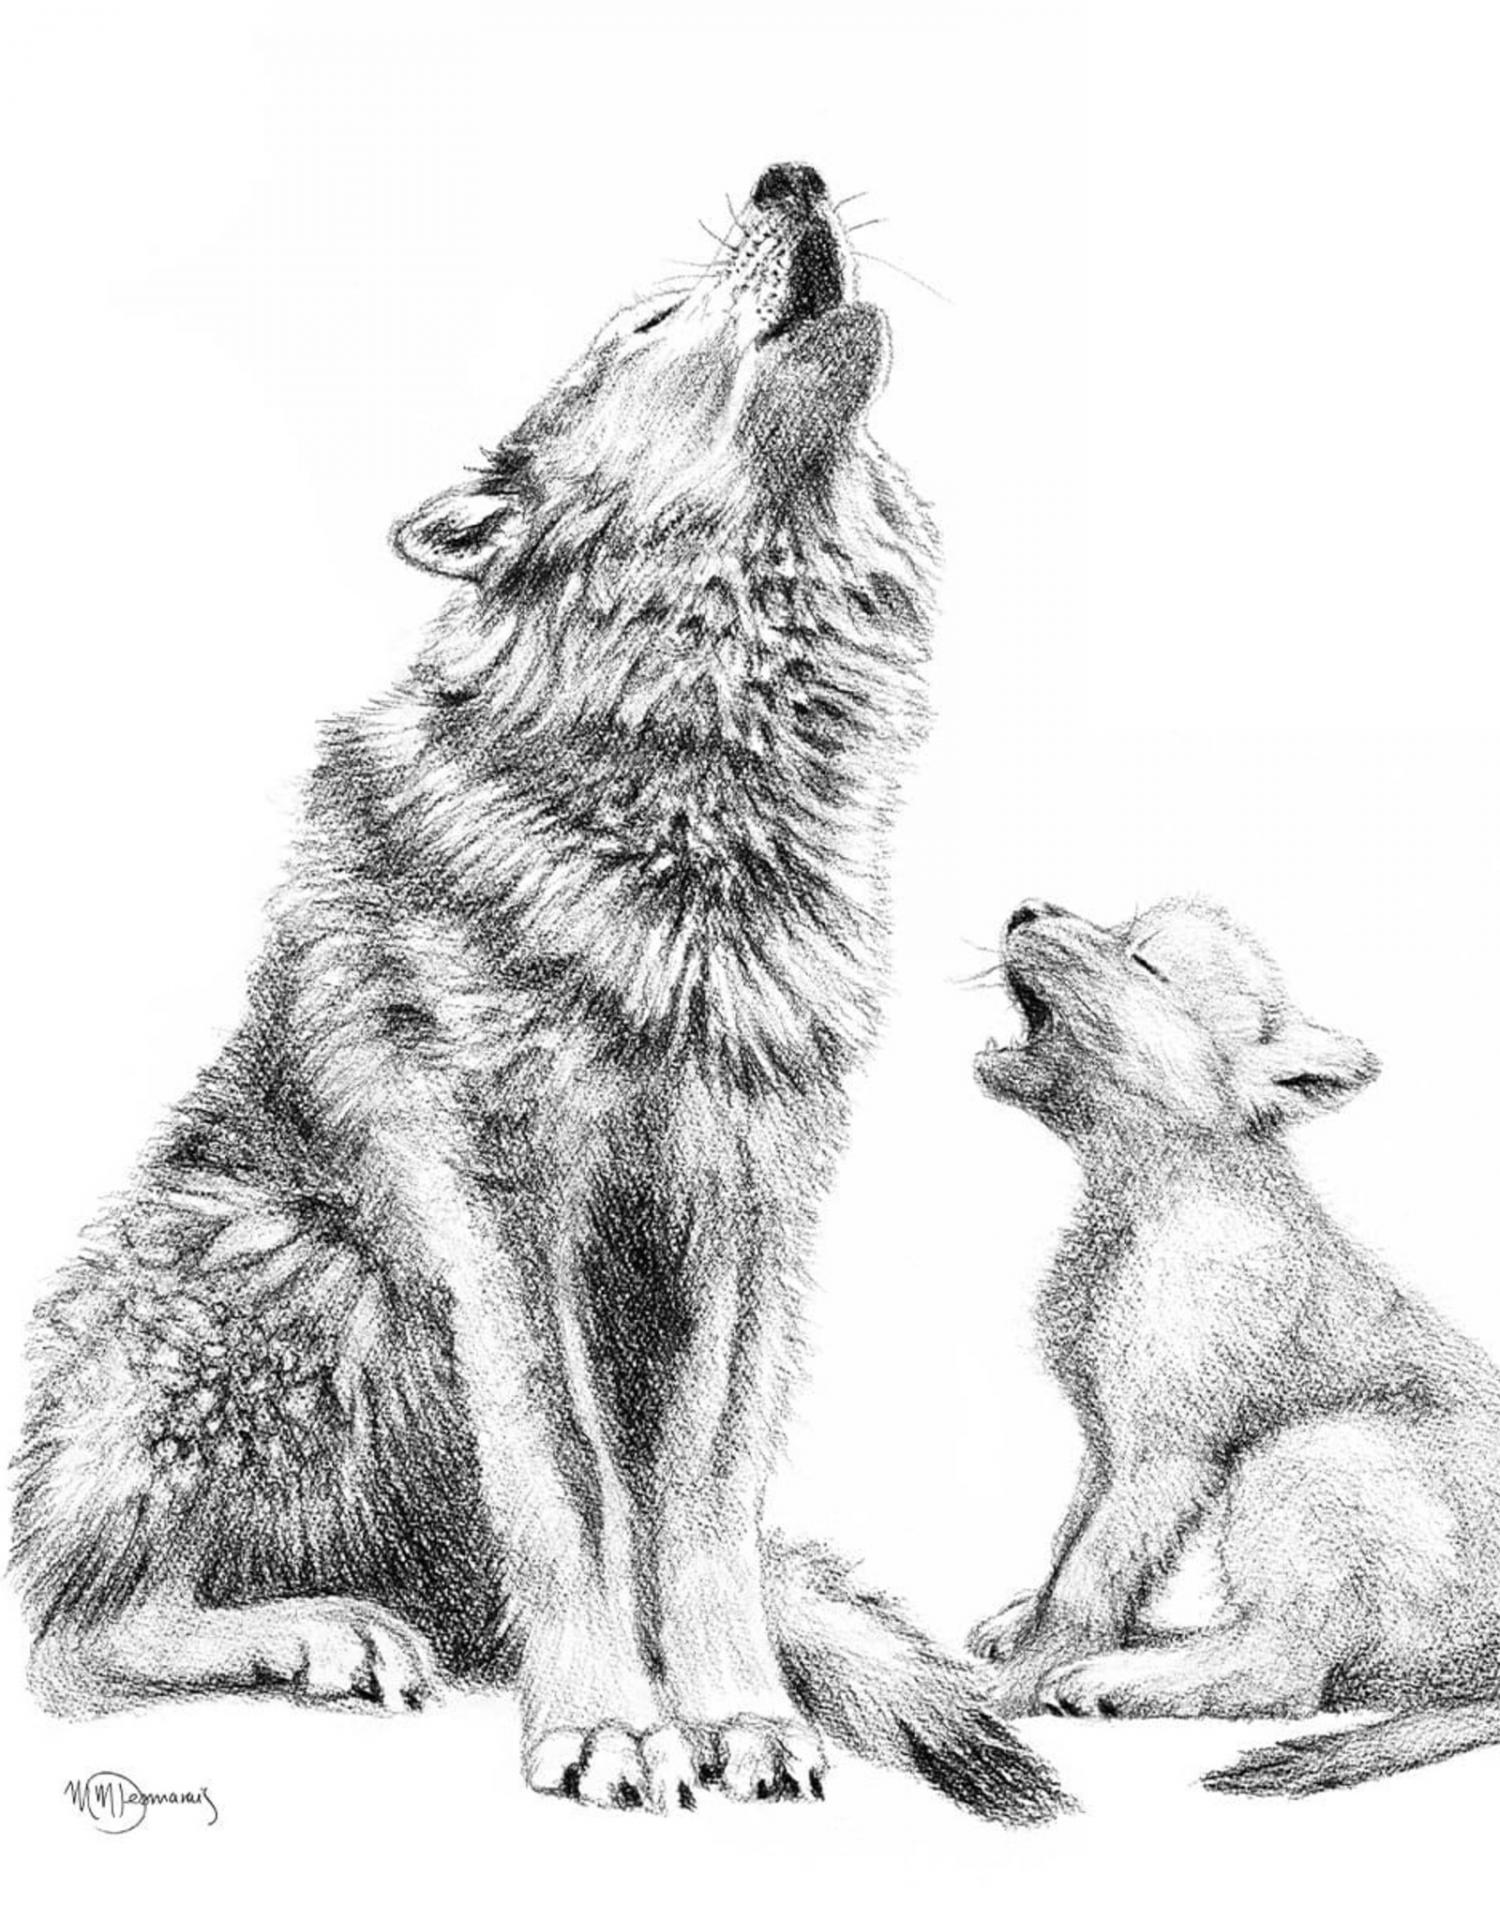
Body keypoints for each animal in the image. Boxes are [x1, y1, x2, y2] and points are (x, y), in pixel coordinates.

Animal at [13, 163, 1062, 1822]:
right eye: (648, 320)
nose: (792, 175)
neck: (697, 802)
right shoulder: (500, 1203)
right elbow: (568, 1479)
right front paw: (607, 1727)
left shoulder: (750, 1205)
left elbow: (706, 1495)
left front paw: (739, 1715)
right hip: (314, 1270)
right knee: (74, 1631)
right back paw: (321, 1631)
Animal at [968, 894, 1500, 1795]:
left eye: (1144, 961)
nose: (1026, 907)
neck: (1148, 1203)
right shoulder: (1107, 1442)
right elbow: (1074, 1548)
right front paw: (1025, 1630)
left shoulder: (1167, 1452)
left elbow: (1087, 1579)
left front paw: (1015, 1690)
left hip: (1315, 1458)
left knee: (1287, 1671)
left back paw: (1117, 1680)